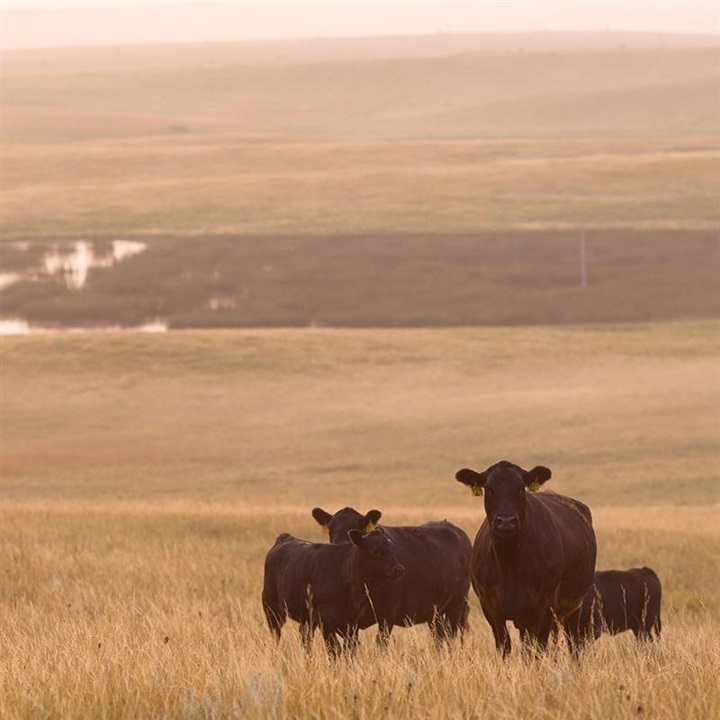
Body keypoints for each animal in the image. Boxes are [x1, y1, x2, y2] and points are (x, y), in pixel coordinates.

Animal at [262, 524, 404, 656]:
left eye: (393, 549)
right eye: (376, 551)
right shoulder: (326, 620)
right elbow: (334, 649)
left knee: (306, 640)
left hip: (306, 619)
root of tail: (285, 538)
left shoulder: (352, 623)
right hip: (272, 610)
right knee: (276, 636)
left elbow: (349, 649)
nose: (399, 569)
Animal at [310, 504, 472, 644]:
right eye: (330, 530)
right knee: (439, 637)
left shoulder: (387, 613)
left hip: (457, 604)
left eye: (357, 528)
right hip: (435, 611)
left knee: (450, 636)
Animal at [456, 462, 596, 660]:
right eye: (489, 489)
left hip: (574, 607)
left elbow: (537, 648)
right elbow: (504, 646)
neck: (509, 562)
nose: (506, 521)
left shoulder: (543, 605)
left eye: (520, 488)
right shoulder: (490, 607)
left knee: (574, 643)